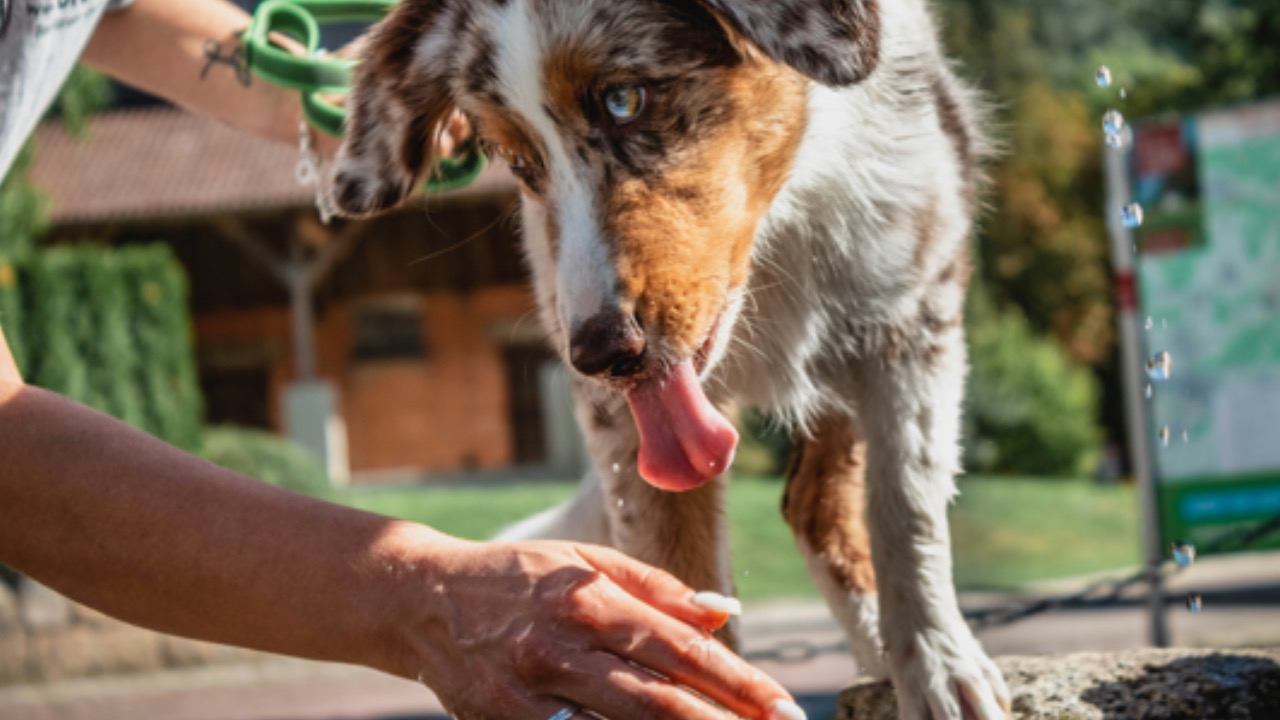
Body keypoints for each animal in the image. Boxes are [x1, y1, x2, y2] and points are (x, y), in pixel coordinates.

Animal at [330, 2, 1008, 712]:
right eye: (518, 160)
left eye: (623, 100)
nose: (600, 354)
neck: (777, 229)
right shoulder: (618, 415)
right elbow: (678, 574)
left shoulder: (912, 318)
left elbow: (908, 508)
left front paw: (939, 669)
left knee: (821, 503)